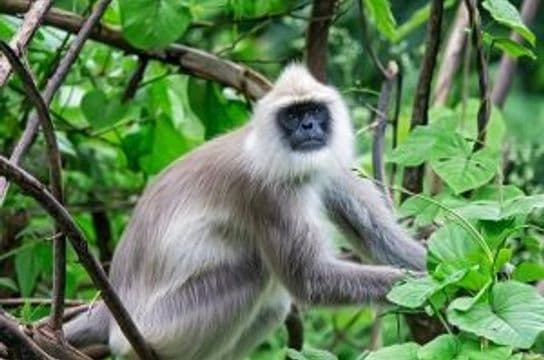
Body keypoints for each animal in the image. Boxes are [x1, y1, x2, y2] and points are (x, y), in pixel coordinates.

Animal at [65, 65, 424, 360]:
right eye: (292, 116)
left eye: (313, 111)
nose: (308, 125)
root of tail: (112, 310)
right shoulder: (266, 194)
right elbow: (310, 280)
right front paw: (419, 283)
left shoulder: (325, 163)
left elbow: (380, 237)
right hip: (162, 326)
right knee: (253, 270)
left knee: (272, 305)